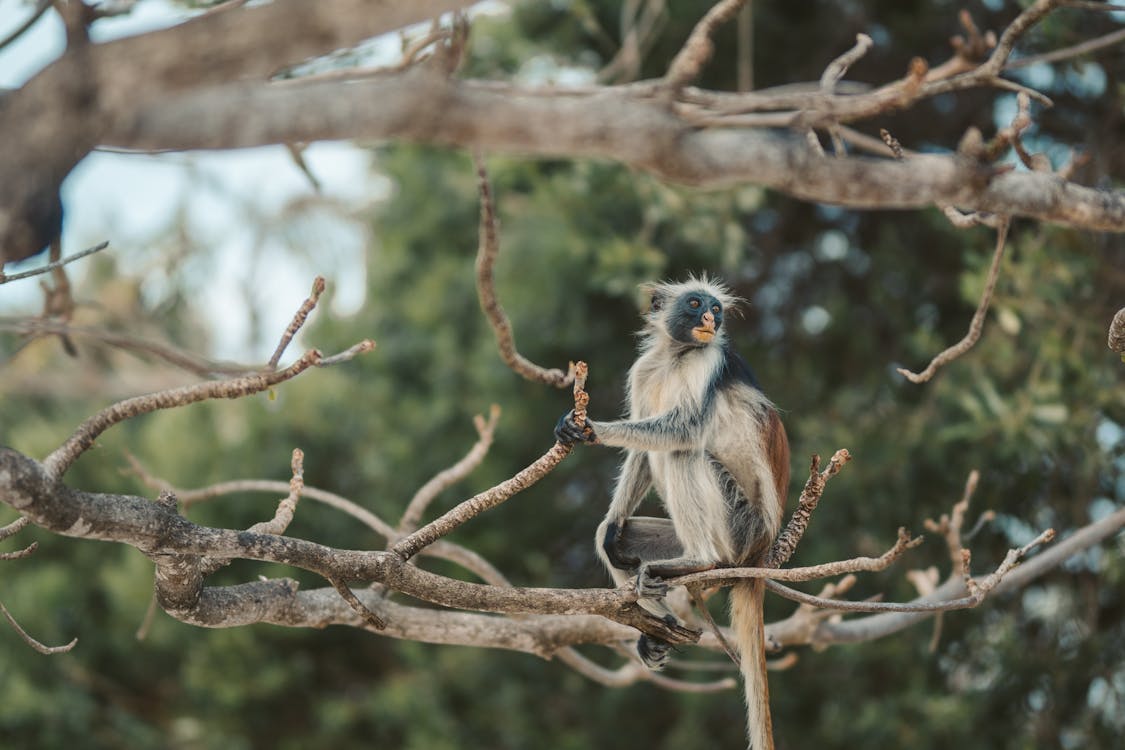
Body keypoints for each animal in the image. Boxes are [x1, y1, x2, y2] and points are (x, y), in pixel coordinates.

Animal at [555, 275, 792, 750]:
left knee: (685, 451)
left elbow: (682, 430)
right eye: (696, 303)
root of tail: (762, 549)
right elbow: (641, 455)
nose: (710, 320)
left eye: (717, 310)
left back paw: (697, 562)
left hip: (738, 525)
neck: (676, 355)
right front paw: (613, 526)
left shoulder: (710, 358)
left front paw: (590, 429)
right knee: (614, 543)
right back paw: (659, 627)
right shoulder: (645, 369)